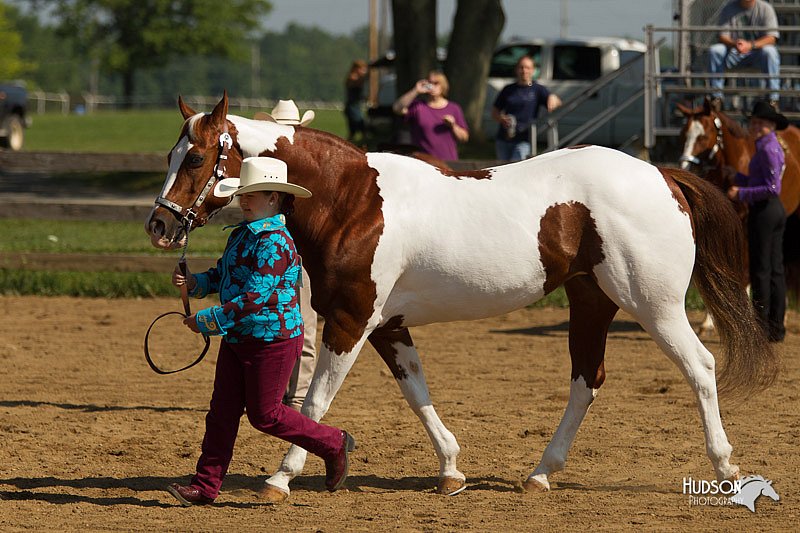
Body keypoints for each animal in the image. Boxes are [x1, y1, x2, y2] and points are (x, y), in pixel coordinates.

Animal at [145, 94, 776, 498]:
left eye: (196, 157)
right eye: (169, 154)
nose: (159, 225)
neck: (351, 201)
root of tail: (664, 176)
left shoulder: (351, 322)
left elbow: (314, 403)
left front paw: (281, 478)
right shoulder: (387, 326)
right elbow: (417, 393)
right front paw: (450, 470)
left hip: (655, 305)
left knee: (700, 367)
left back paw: (725, 467)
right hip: (592, 301)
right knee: (586, 380)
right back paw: (540, 474)